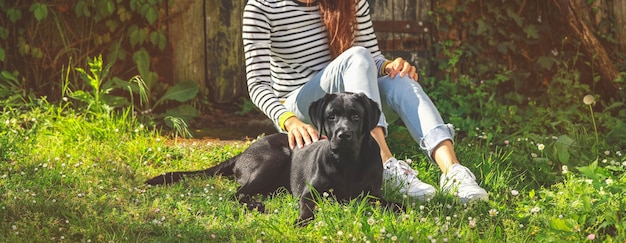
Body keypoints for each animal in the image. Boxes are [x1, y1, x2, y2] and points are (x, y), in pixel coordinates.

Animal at [145, 92, 400, 225]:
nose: (343, 134)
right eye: (331, 116)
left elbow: (393, 204)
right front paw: (301, 221)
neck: (346, 162)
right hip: (273, 158)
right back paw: (257, 205)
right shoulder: (310, 193)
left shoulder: (373, 194)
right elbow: (307, 209)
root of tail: (243, 152)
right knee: (236, 195)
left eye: (356, 116)